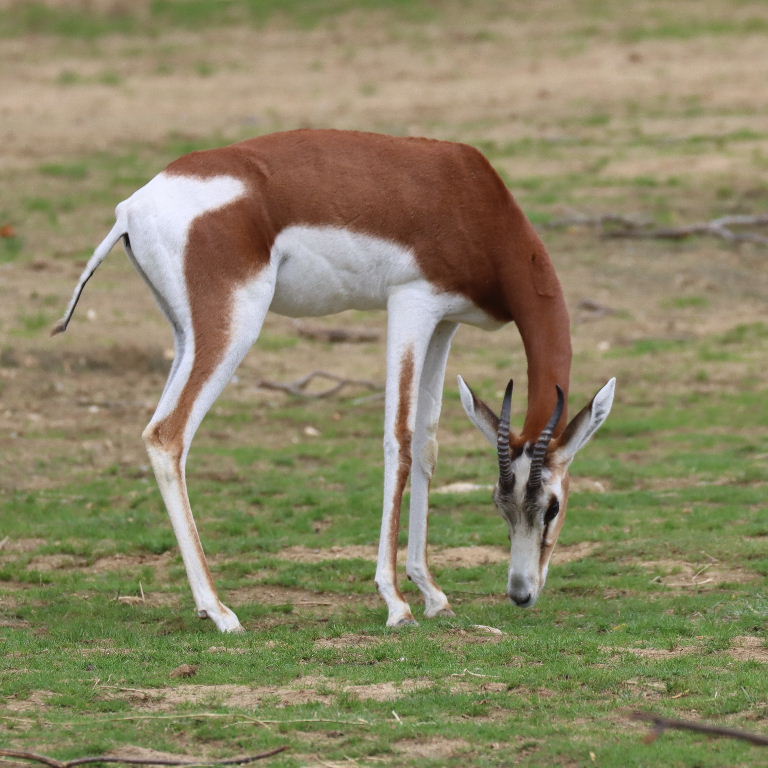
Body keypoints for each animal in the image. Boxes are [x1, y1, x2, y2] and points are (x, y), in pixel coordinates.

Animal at [54, 129, 615, 632]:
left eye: (545, 505)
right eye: (517, 503)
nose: (521, 594)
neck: (471, 199)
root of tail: (130, 208)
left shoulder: (445, 321)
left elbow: (428, 443)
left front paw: (433, 594)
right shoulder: (412, 302)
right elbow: (400, 439)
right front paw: (397, 604)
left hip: (186, 334)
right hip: (234, 326)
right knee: (168, 435)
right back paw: (220, 612)